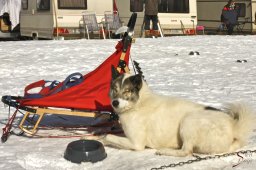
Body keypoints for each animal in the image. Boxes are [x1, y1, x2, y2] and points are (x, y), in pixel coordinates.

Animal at [87, 72, 252, 157]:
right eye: (114, 89)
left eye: (127, 91)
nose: (115, 103)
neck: (139, 103)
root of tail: (232, 125)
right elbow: (103, 135)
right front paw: (91, 137)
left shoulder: (136, 144)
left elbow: (108, 136)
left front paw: (101, 139)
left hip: (188, 121)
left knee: (186, 151)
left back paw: (165, 151)